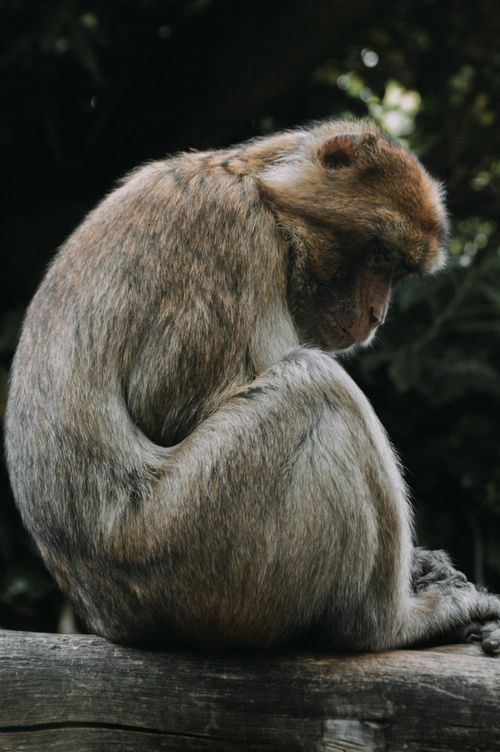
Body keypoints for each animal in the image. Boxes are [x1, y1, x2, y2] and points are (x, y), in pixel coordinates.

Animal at [5, 119, 500, 654]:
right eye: (381, 255)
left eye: (398, 270)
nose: (376, 315)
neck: (257, 187)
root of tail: (109, 616)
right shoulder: (232, 231)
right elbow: (167, 404)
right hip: (189, 547)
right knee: (317, 386)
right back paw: (387, 624)